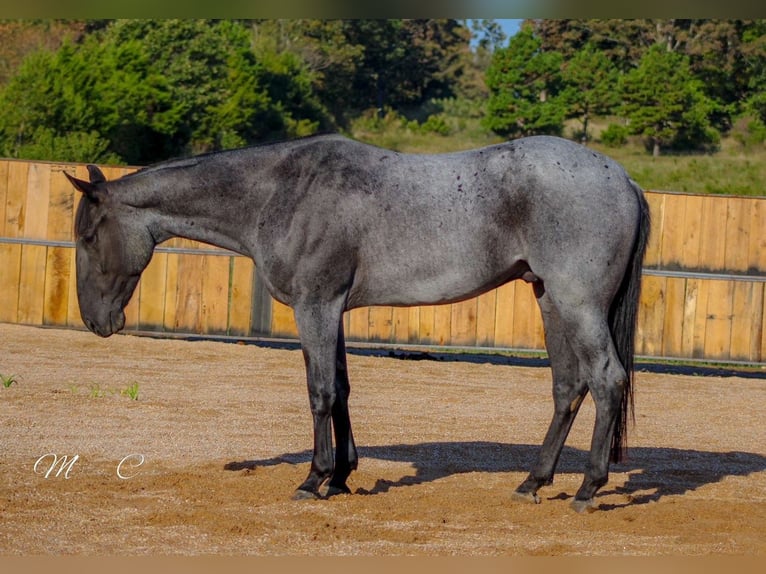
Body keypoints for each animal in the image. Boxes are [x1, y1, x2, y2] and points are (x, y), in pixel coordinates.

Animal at [65, 133, 650, 513]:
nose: (96, 320)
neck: (281, 191)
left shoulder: (316, 306)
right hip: (551, 300)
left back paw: (587, 489)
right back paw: (534, 482)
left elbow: (320, 391)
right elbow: (342, 389)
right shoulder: (334, 310)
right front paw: (343, 478)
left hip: (578, 303)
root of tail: (622, 178)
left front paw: (314, 479)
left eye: (89, 236)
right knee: (568, 387)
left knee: (607, 380)